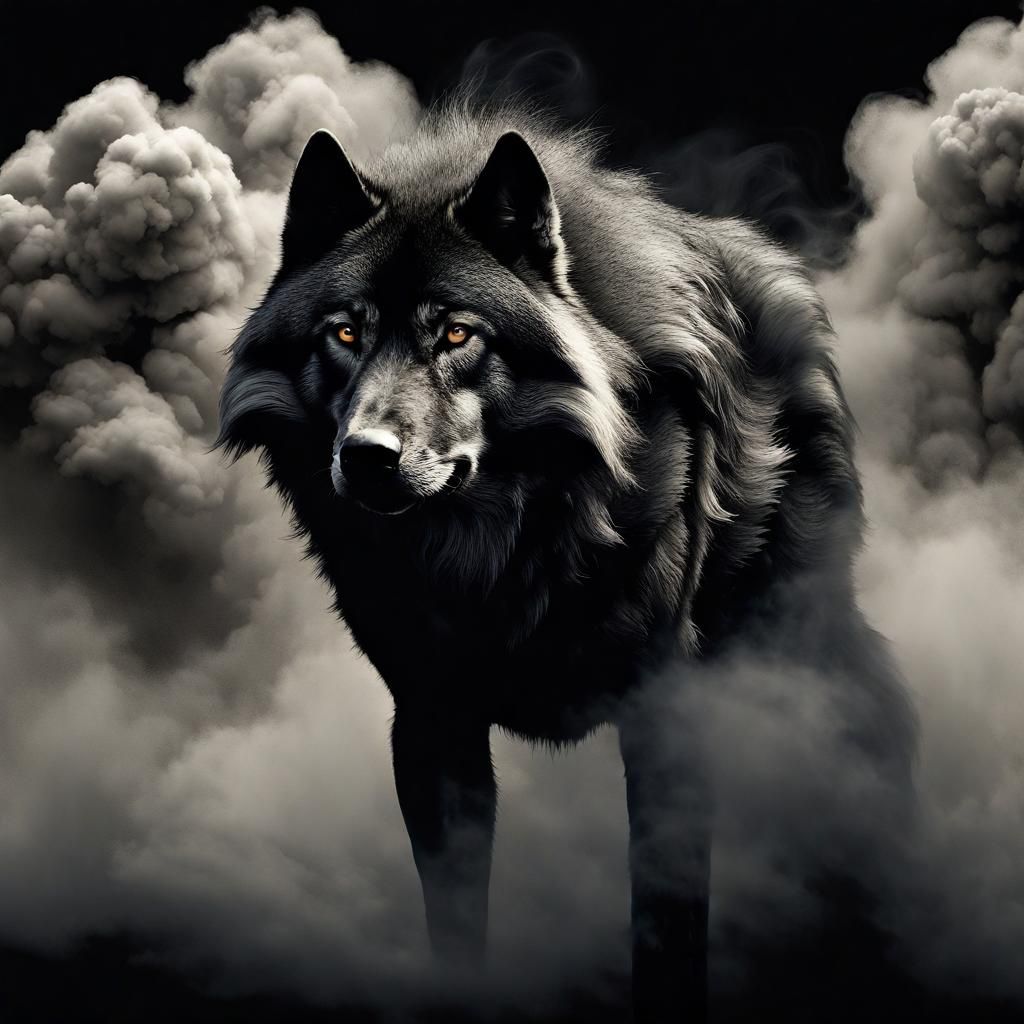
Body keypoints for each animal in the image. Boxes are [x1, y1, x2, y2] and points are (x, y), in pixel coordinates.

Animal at [215, 99, 915, 1021]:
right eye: (344, 332)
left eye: (456, 333)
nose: (366, 457)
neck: (498, 555)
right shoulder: (432, 723)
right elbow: (456, 921)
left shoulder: (669, 715)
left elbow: (666, 925)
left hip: (794, 641)